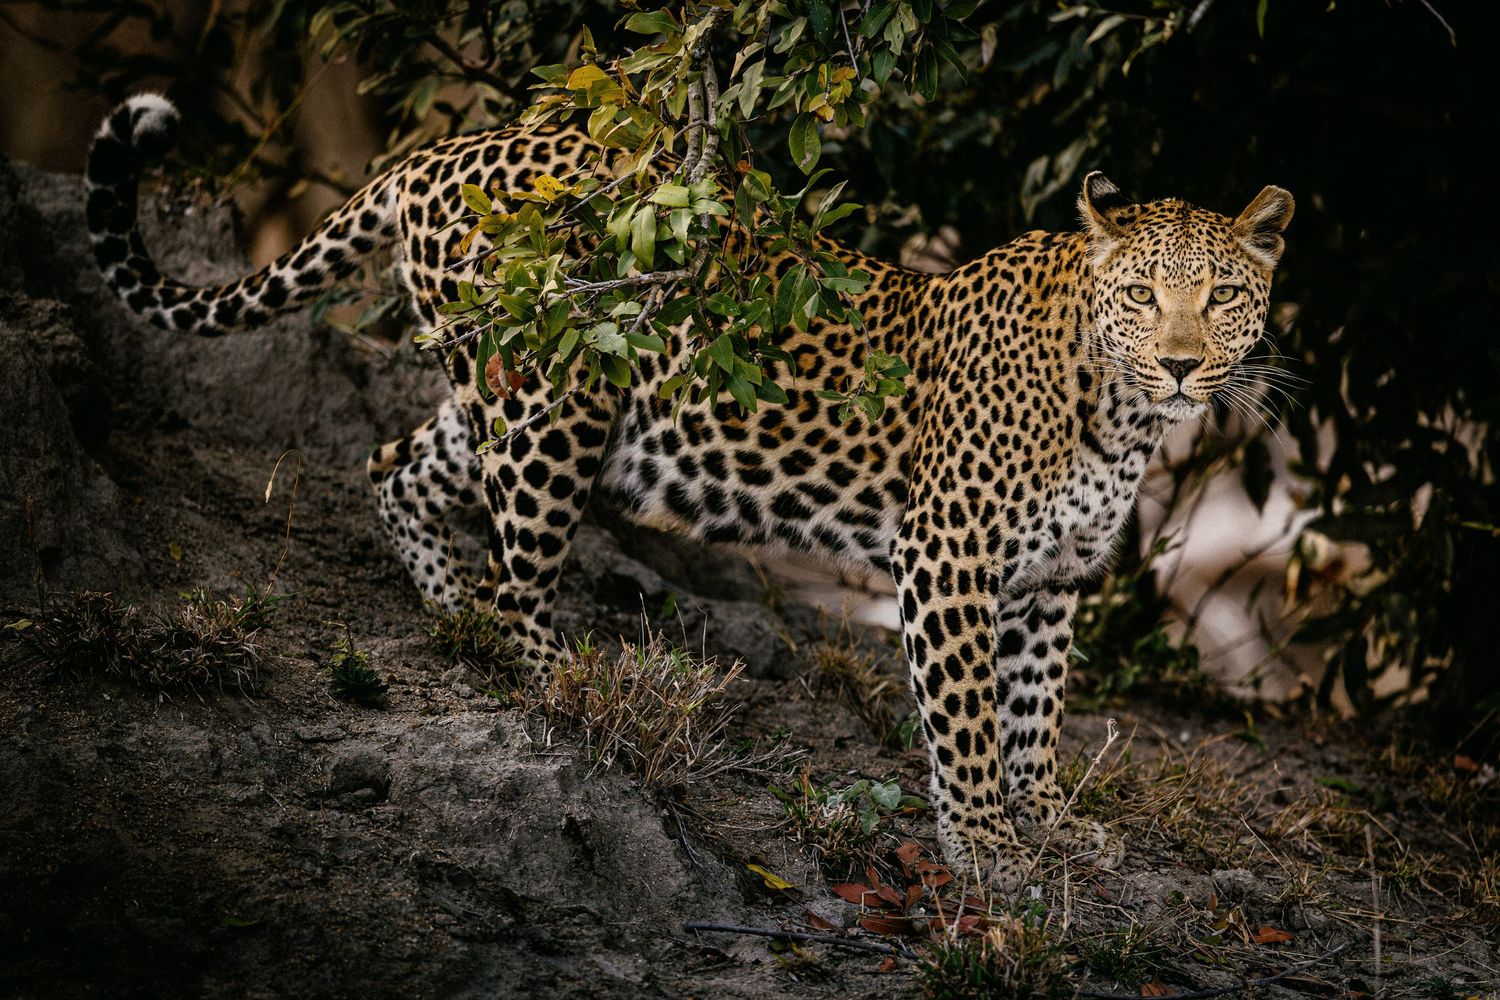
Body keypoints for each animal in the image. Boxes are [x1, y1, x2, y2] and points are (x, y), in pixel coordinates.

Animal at [86, 93, 1293, 886]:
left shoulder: (1053, 577)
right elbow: (965, 720)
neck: (1120, 414)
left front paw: (1044, 820)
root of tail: (443, 151)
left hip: (500, 403)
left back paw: (451, 612)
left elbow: (1036, 710)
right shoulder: (951, 558)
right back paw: (549, 672)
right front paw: (988, 845)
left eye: (1222, 296)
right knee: (520, 571)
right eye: (1143, 296)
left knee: (394, 467)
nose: (1181, 364)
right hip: (551, 406)